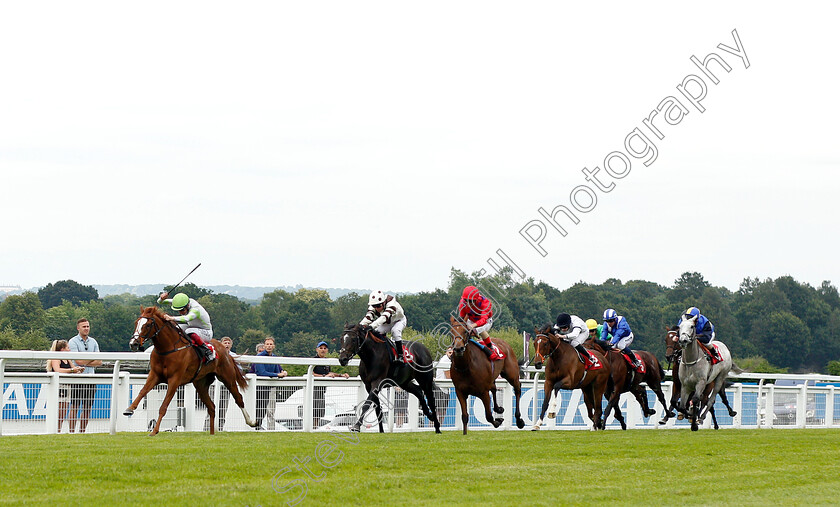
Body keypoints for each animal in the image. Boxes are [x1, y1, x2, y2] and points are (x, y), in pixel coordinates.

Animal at [123, 308, 256, 434]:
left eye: (147, 325)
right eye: (136, 323)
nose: (133, 344)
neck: (167, 349)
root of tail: (224, 349)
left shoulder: (174, 380)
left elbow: (164, 406)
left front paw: (154, 431)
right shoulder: (155, 375)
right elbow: (142, 391)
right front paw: (129, 409)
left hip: (227, 378)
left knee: (238, 398)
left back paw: (252, 422)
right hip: (200, 384)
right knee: (212, 407)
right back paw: (212, 433)